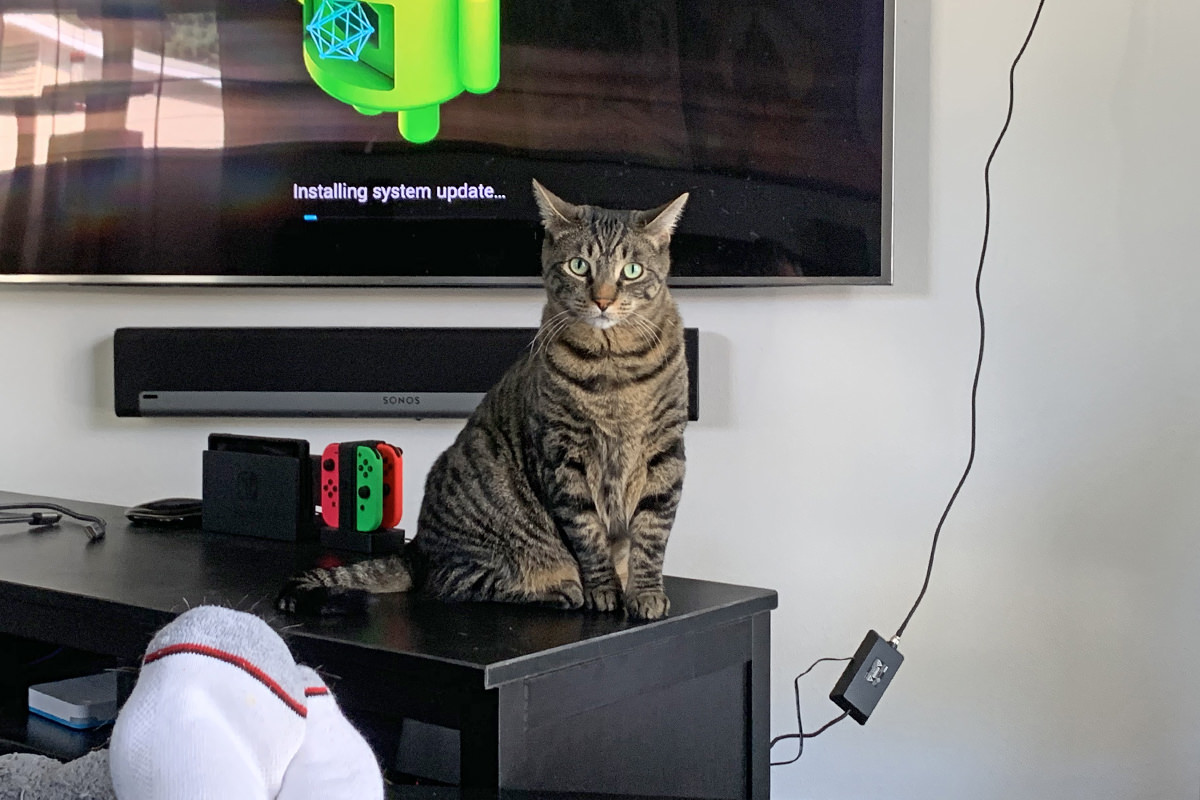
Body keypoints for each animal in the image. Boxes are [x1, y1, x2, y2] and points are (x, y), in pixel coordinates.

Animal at [273, 179, 686, 618]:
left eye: (631, 270)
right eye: (579, 266)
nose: (603, 300)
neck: (614, 364)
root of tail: (416, 548)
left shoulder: (666, 451)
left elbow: (651, 536)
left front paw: (644, 591)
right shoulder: (563, 453)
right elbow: (588, 534)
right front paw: (605, 589)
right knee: (456, 583)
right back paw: (557, 589)